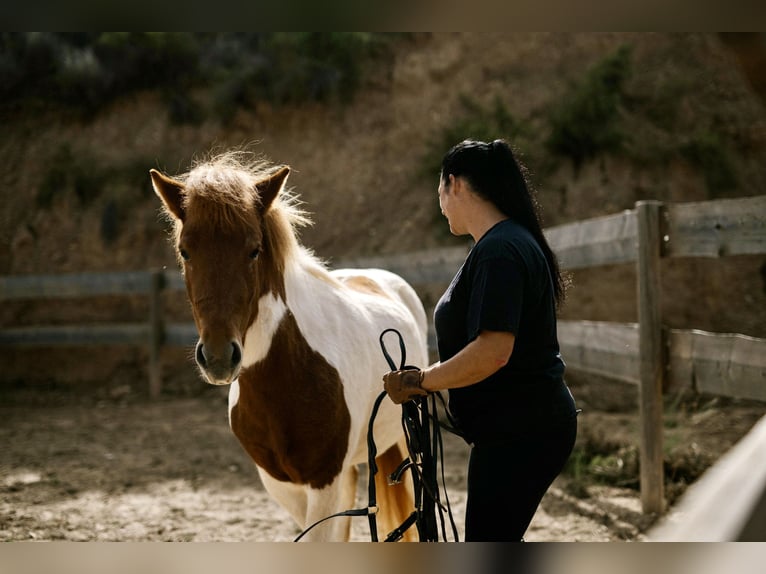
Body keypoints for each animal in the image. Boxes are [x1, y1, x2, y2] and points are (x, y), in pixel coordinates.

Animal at [150, 151, 429, 541]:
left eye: (254, 250)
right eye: (185, 251)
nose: (218, 357)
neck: (288, 374)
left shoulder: (323, 479)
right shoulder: (279, 482)